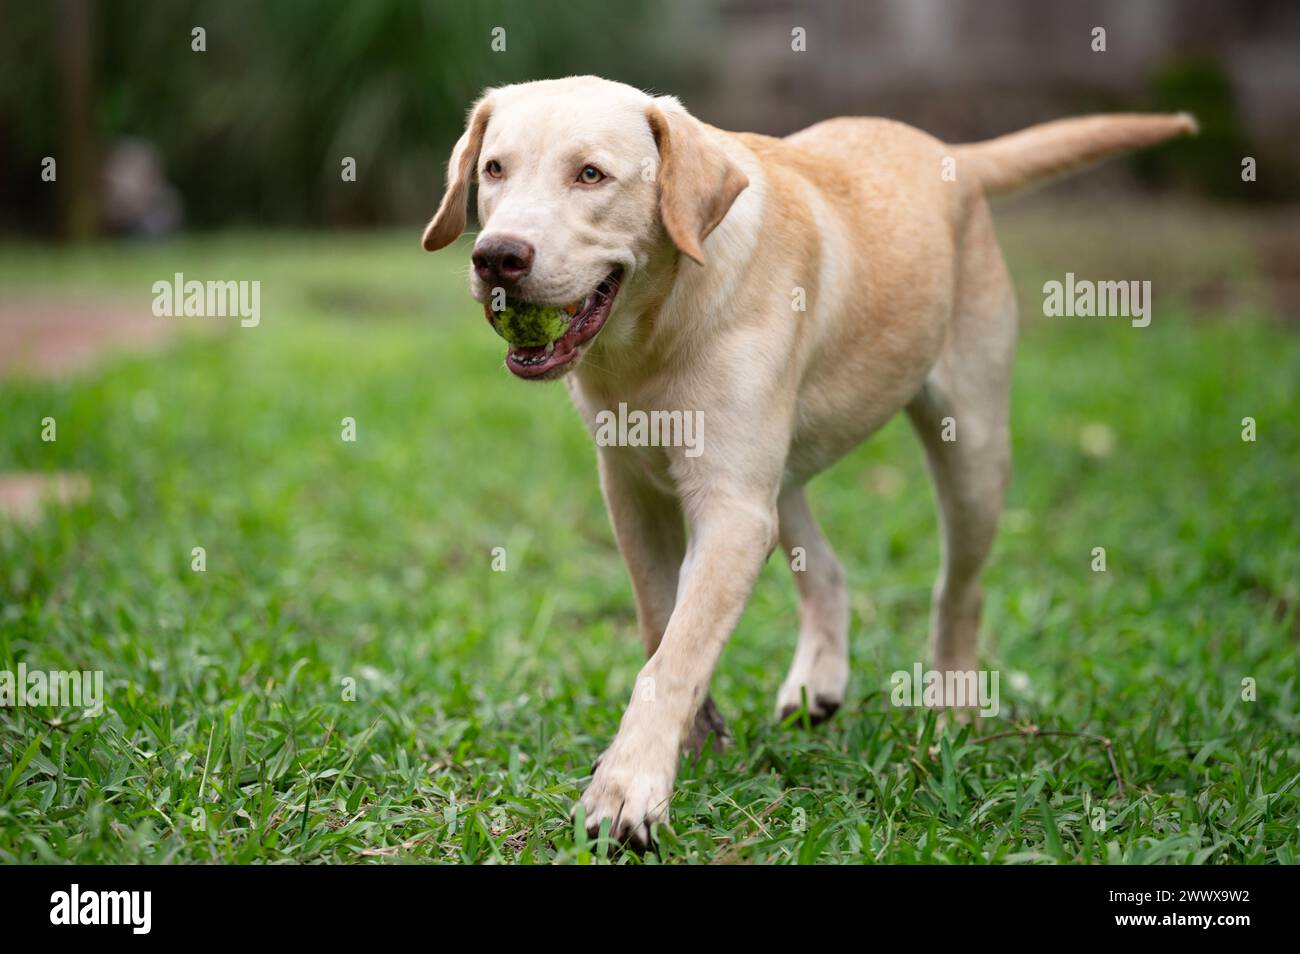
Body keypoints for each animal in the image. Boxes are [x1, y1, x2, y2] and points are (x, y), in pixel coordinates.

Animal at [421, 76, 1190, 852]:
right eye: (494, 169)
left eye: (590, 175)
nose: (497, 256)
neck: (658, 325)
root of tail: (951, 152)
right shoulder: (635, 488)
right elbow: (661, 621)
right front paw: (692, 737)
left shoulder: (732, 508)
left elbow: (675, 654)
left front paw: (627, 788)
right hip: (780, 470)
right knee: (826, 566)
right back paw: (819, 678)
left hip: (969, 447)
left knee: (960, 587)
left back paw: (951, 707)